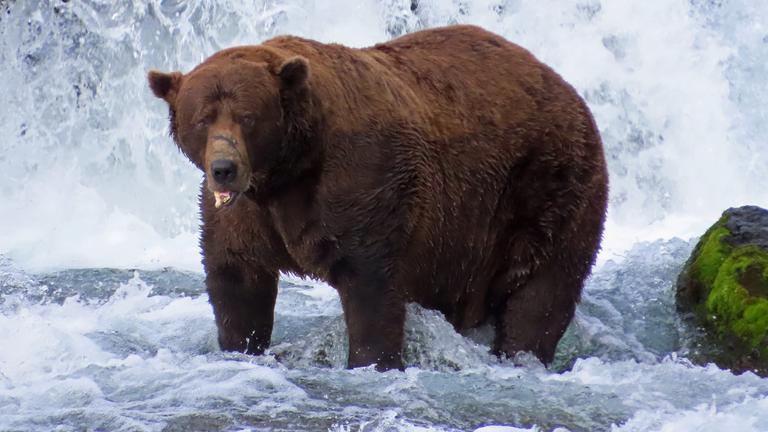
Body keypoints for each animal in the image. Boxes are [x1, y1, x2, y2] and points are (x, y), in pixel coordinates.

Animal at [148, 24, 608, 371]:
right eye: (202, 118)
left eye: (247, 117)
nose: (224, 167)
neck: (288, 170)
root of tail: (566, 88)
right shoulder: (246, 214)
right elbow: (236, 277)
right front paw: (241, 345)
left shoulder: (364, 182)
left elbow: (371, 285)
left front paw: (373, 360)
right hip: (465, 239)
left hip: (547, 186)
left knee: (542, 290)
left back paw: (521, 354)